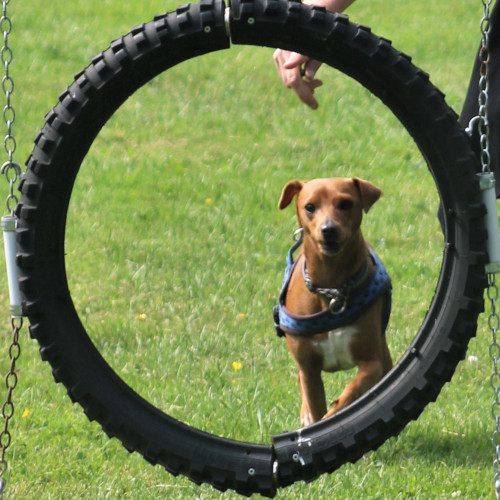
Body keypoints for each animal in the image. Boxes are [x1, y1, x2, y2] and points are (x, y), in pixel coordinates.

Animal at [276, 176, 392, 426]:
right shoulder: (309, 369)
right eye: (310, 206)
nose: (328, 229)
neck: (331, 289)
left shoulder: (371, 360)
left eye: (346, 204)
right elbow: (313, 400)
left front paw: (336, 412)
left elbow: (354, 390)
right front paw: (316, 418)